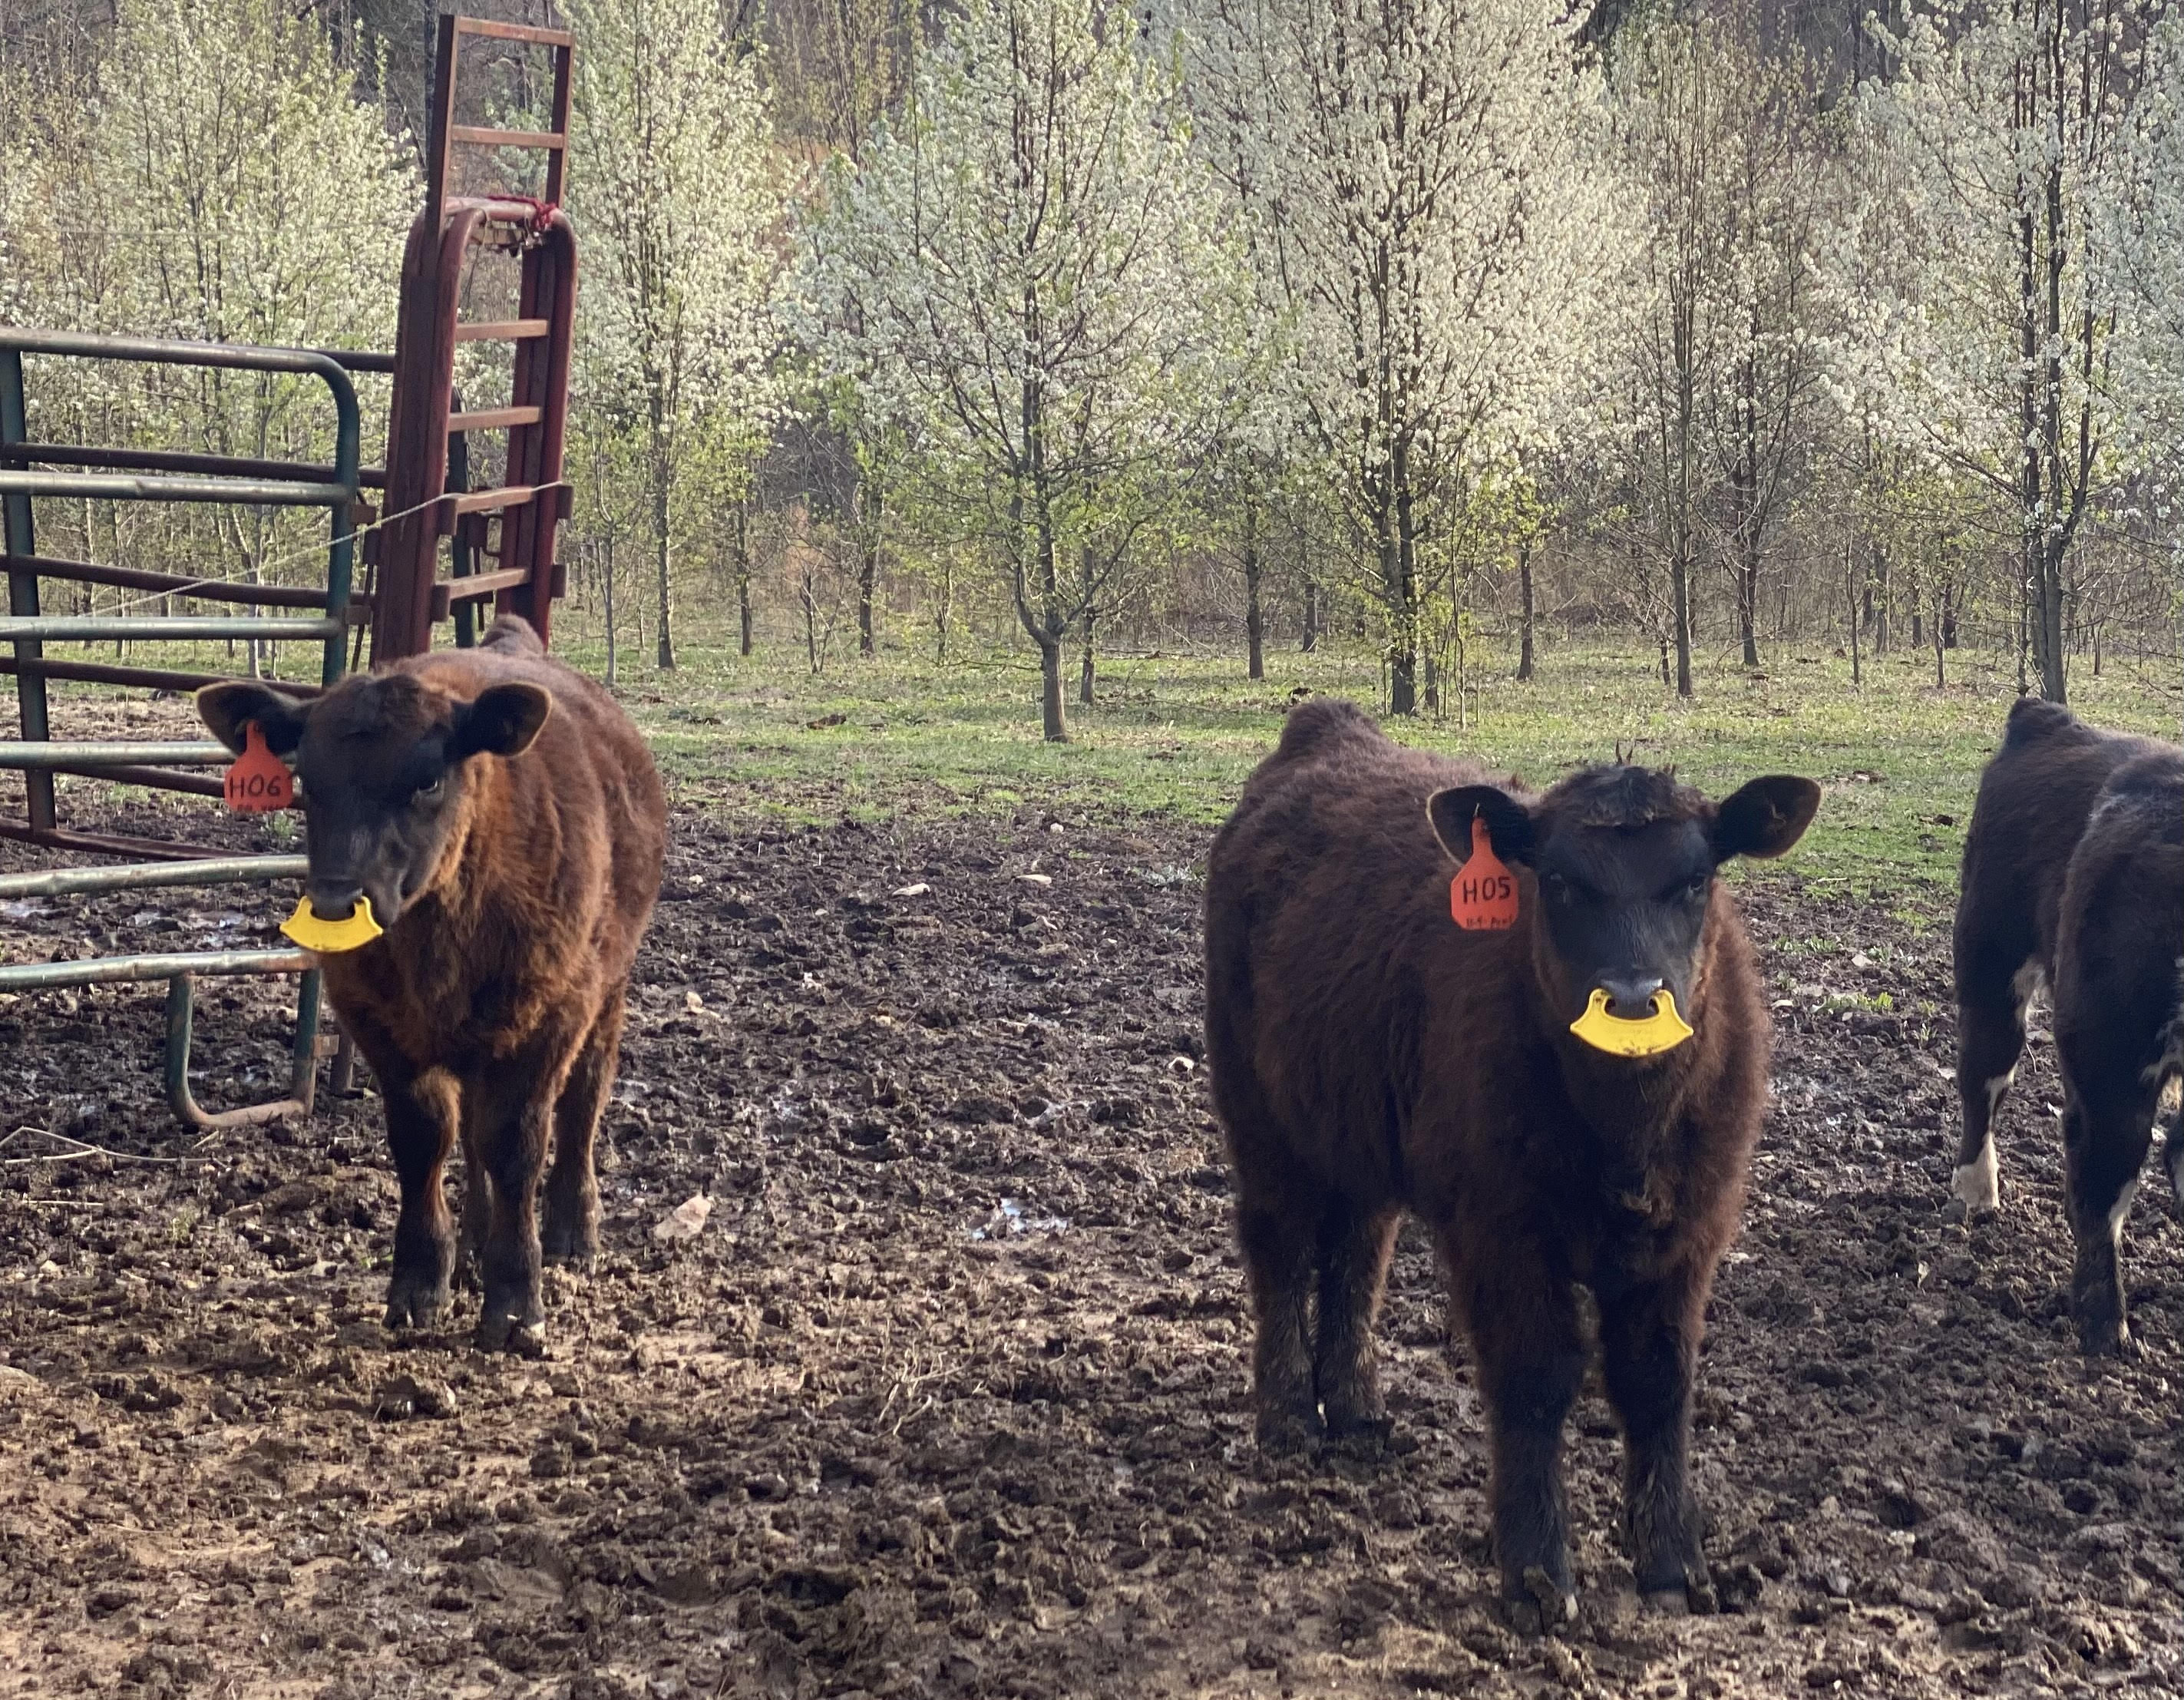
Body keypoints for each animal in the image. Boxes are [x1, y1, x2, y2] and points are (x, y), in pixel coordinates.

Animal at [197, 615, 667, 1354]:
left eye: (425, 781)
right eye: (308, 782)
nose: (336, 903)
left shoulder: (547, 1015)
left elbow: (518, 1145)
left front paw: (516, 1301)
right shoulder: (378, 1024)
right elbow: (426, 1141)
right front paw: (420, 1286)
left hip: (606, 987)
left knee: (584, 1098)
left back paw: (571, 1232)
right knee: (471, 1128)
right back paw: (473, 1241)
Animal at [1203, 698, 1818, 1631]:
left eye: (1694, 880)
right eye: (1557, 882)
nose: (1632, 999)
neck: (1623, 1140)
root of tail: (1328, 727)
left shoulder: (1692, 1231)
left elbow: (1658, 1379)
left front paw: (1671, 1561)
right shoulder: (1501, 1231)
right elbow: (1535, 1378)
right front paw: (1534, 1571)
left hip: (1356, 1124)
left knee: (1355, 1253)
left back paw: (1354, 1408)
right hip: (1258, 1109)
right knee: (1279, 1247)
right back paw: (1286, 1418)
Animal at [1951, 698, 2183, 1356]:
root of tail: (2048, 719)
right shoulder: (2110, 1066)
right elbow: (2104, 1183)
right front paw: (2106, 1329)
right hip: (1991, 965)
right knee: (1981, 1077)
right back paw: (1975, 1190)